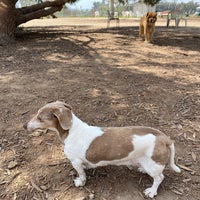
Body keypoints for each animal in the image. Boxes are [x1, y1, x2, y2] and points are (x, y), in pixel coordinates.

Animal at [22, 101, 180, 198]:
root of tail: (165, 138)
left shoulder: (75, 162)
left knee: (159, 178)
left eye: (40, 118)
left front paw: (80, 182)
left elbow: (81, 175)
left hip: (153, 165)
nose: (24, 125)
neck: (72, 131)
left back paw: (152, 191)